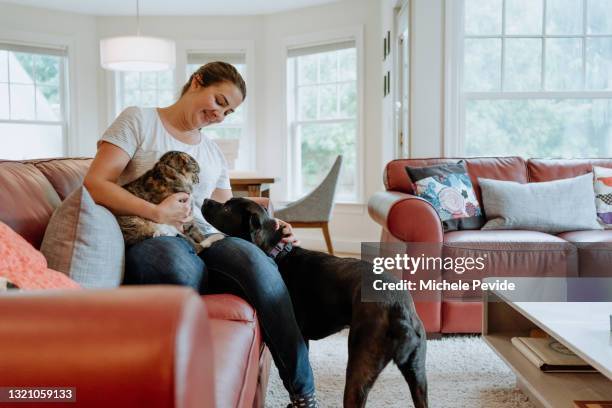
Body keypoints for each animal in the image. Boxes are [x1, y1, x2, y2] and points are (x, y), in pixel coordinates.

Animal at [201, 198, 426, 408]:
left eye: (227, 208)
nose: (204, 200)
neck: (277, 253)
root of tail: (400, 312)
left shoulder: (296, 338)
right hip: (418, 376)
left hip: (358, 372)